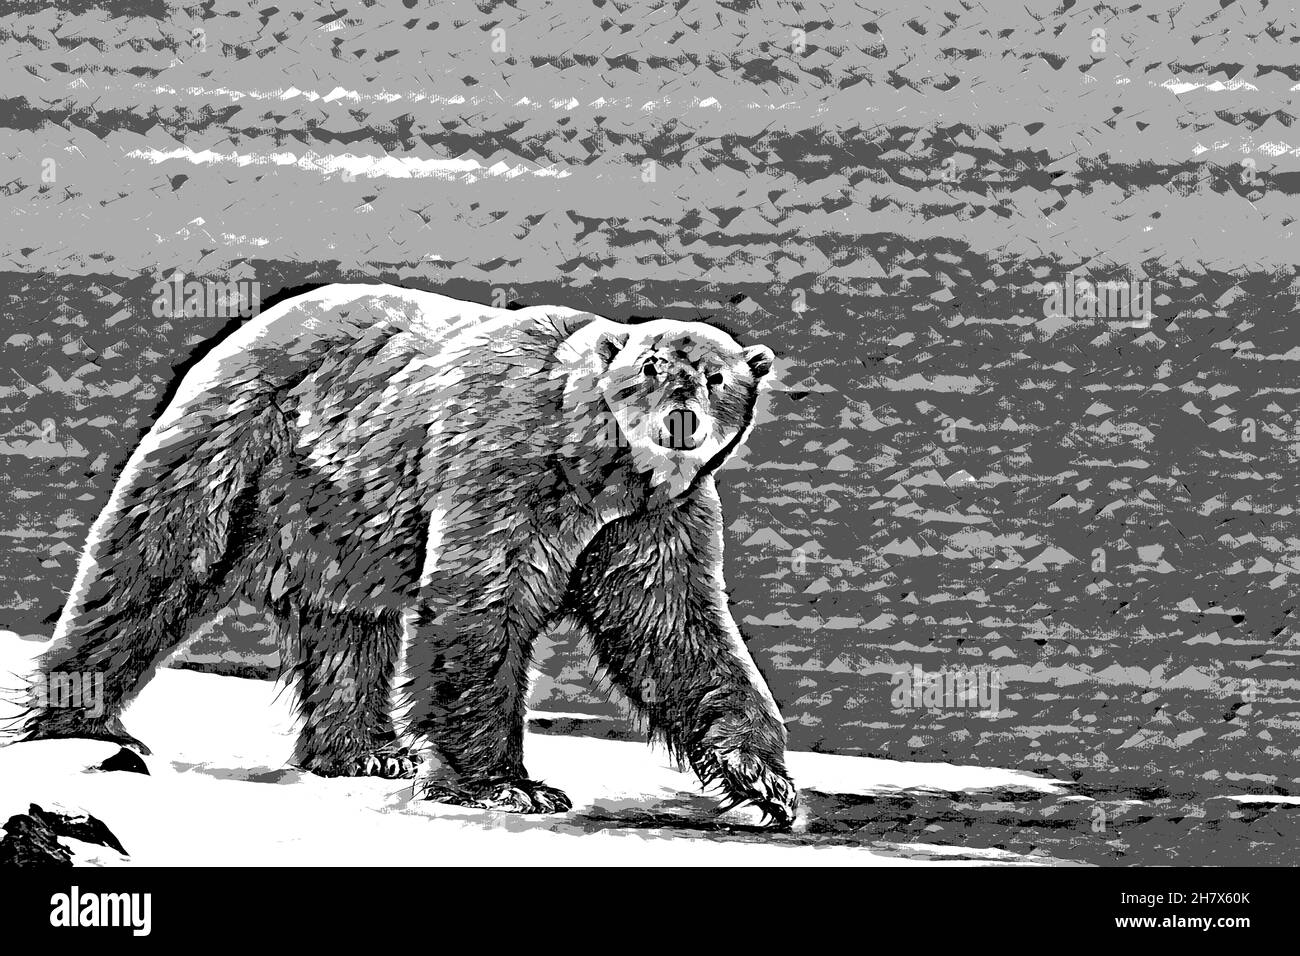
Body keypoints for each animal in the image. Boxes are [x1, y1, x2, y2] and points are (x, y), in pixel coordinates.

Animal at [21, 284, 797, 825]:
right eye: (652, 364)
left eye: (718, 376)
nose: (681, 415)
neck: (597, 466)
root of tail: (242, 330)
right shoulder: (508, 461)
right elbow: (480, 601)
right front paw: (511, 785)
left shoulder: (650, 517)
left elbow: (672, 626)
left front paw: (765, 781)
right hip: (246, 446)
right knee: (151, 563)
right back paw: (79, 718)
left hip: (338, 516)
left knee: (349, 628)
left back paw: (365, 750)